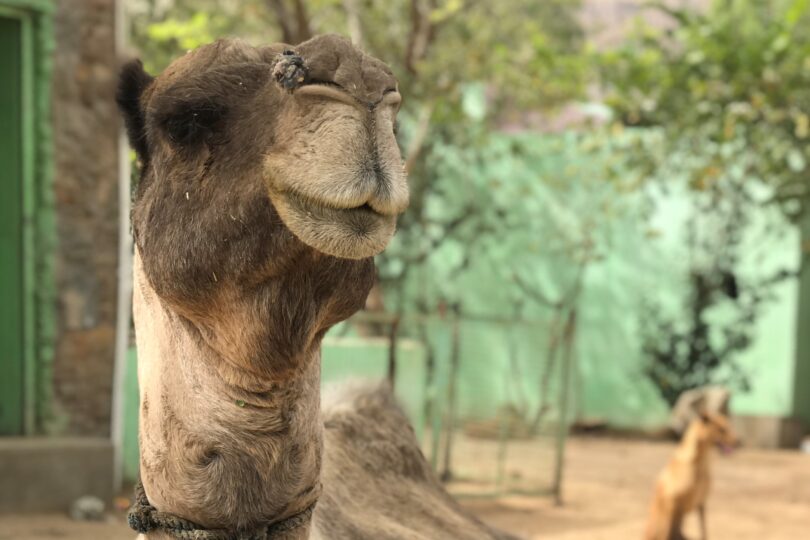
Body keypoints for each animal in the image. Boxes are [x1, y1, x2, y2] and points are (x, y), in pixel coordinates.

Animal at [640, 402, 736, 536]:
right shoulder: (673, 504)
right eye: (722, 429)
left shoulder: (701, 503)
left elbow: (704, 532)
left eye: (729, 427)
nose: (739, 442)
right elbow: (670, 531)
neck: (700, 464)